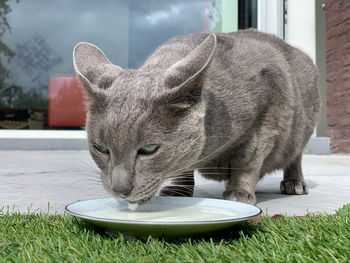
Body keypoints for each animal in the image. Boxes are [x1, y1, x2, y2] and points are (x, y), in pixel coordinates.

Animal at [73, 29, 320, 206]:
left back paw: (294, 183)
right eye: (100, 149)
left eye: (149, 150)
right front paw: (179, 190)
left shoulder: (267, 117)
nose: (120, 190)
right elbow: (183, 165)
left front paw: (238, 192)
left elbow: (247, 161)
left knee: (295, 156)